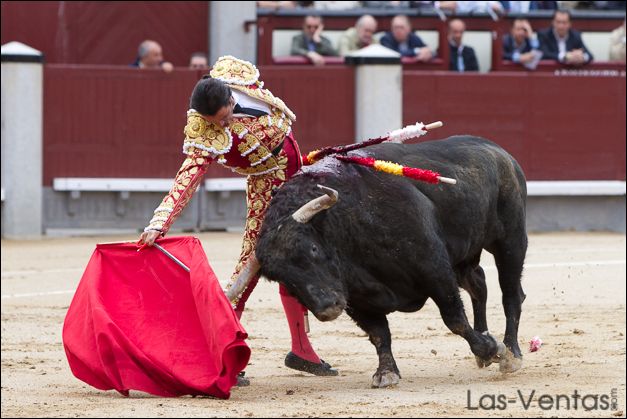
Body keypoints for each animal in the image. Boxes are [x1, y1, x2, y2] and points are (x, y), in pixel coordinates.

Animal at [258, 136, 528, 388]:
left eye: (313, 248)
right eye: (280, 278)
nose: (327, 308)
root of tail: (499, 151)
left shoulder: (435, 269)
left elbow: (454, 319)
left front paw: (494, 350)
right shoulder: (356, 298)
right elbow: (379, 334)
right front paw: (386, 372)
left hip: (511, 240)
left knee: (511, 295)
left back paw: (511, 352)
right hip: (464, 254)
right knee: (479, 284)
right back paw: (485, 347)